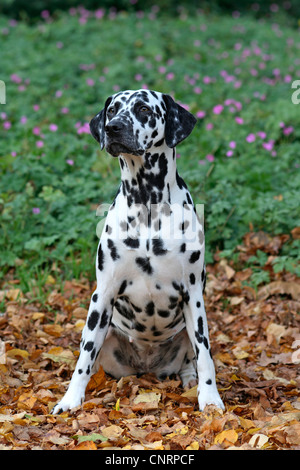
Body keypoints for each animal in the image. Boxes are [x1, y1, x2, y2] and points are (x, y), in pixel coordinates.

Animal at [51, 90, 224, 414]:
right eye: (112, 110)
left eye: (144, 109)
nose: (113, 128)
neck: (147, 204)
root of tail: (147, 365)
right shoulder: (102, 295)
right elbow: (83, 358)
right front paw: (70, 401)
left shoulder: (193, 295)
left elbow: (205, 356)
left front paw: (210, 399)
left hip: (188, 327)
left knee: (192, 358)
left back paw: (190, 380)